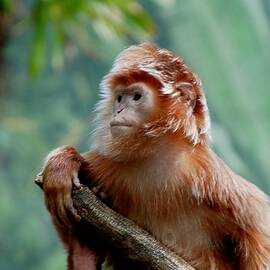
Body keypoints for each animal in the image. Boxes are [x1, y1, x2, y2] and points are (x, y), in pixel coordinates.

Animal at [37, 43, 270, 268]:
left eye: (136, 97)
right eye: (119, 98)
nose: (118, 110)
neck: (159, 160)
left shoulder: (209, 174)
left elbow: (259, 228)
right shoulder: (112, 165)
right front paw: (62, 165)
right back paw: (83, 247)